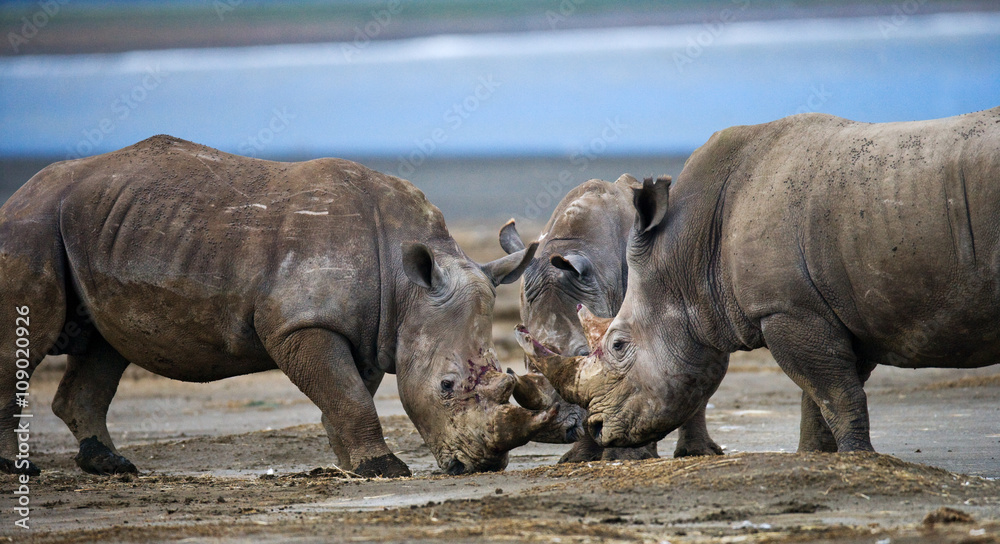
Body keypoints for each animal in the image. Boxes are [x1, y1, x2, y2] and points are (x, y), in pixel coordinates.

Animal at [0, 135, 581, 477]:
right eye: (445, 386)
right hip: (33, 226)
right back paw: (19, 471)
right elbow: (348, 395)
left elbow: (348, 394)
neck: (408, 284)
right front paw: (384, 469)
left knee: (105, 346)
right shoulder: (301, 325)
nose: (477, 467)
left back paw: (110, 465)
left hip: (103, 226)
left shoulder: (370, 330)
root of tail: (24, 190)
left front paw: (355, 464)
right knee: (30, 340)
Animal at [499, 177, 721, 461]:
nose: (553, 433)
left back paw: (694, 453)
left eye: (584, 352)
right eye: (526, 361)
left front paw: (623, 458)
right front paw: (580, 459)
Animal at [519, 107, 1000, 454]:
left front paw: (858, 458)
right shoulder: (831, 310)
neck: (687, 256)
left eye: (618, 345)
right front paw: (818, 459)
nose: (597, 425)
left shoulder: (790, 309)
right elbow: (824, 396)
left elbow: (835, 393)